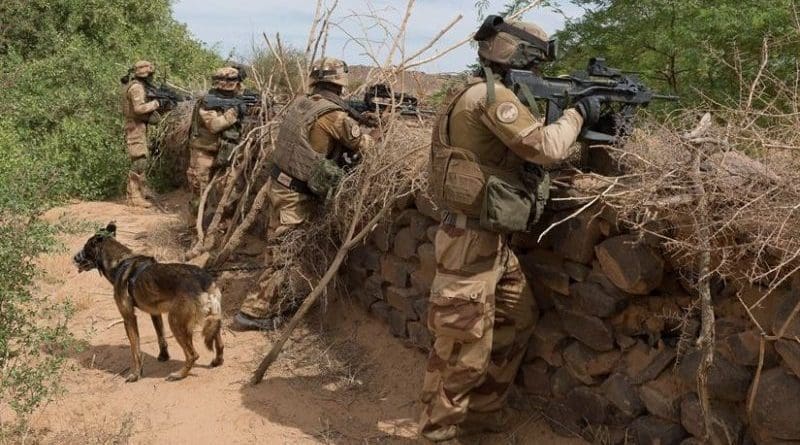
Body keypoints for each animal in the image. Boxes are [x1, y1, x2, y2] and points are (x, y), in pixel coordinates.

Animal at [73, 222, 223, 382]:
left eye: (86, 247)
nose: (74, 257)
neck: (120, 263)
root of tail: (205, 282)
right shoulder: (155, 313)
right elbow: (161, 337)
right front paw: (163, 356)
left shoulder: (129, 318)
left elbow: (135, 350)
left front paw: (136, 374)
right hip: (212, 319)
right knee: (219, 344)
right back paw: (217, 361)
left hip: (175, 322)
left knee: (193, 355)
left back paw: (179, 374)